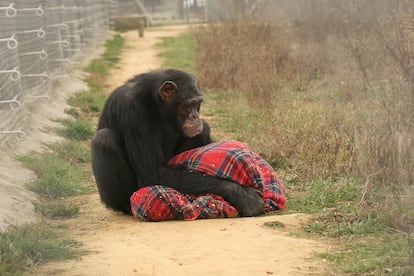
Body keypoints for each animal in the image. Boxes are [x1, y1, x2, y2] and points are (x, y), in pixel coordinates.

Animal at [92, 68, 264, 216]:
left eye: (197, 104)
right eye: (188, 105)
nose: (195, 116)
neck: (156, 103)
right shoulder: (132, 108)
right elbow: (152, 171)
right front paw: (240, 193)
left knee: (203, 129)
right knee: (103, 140)